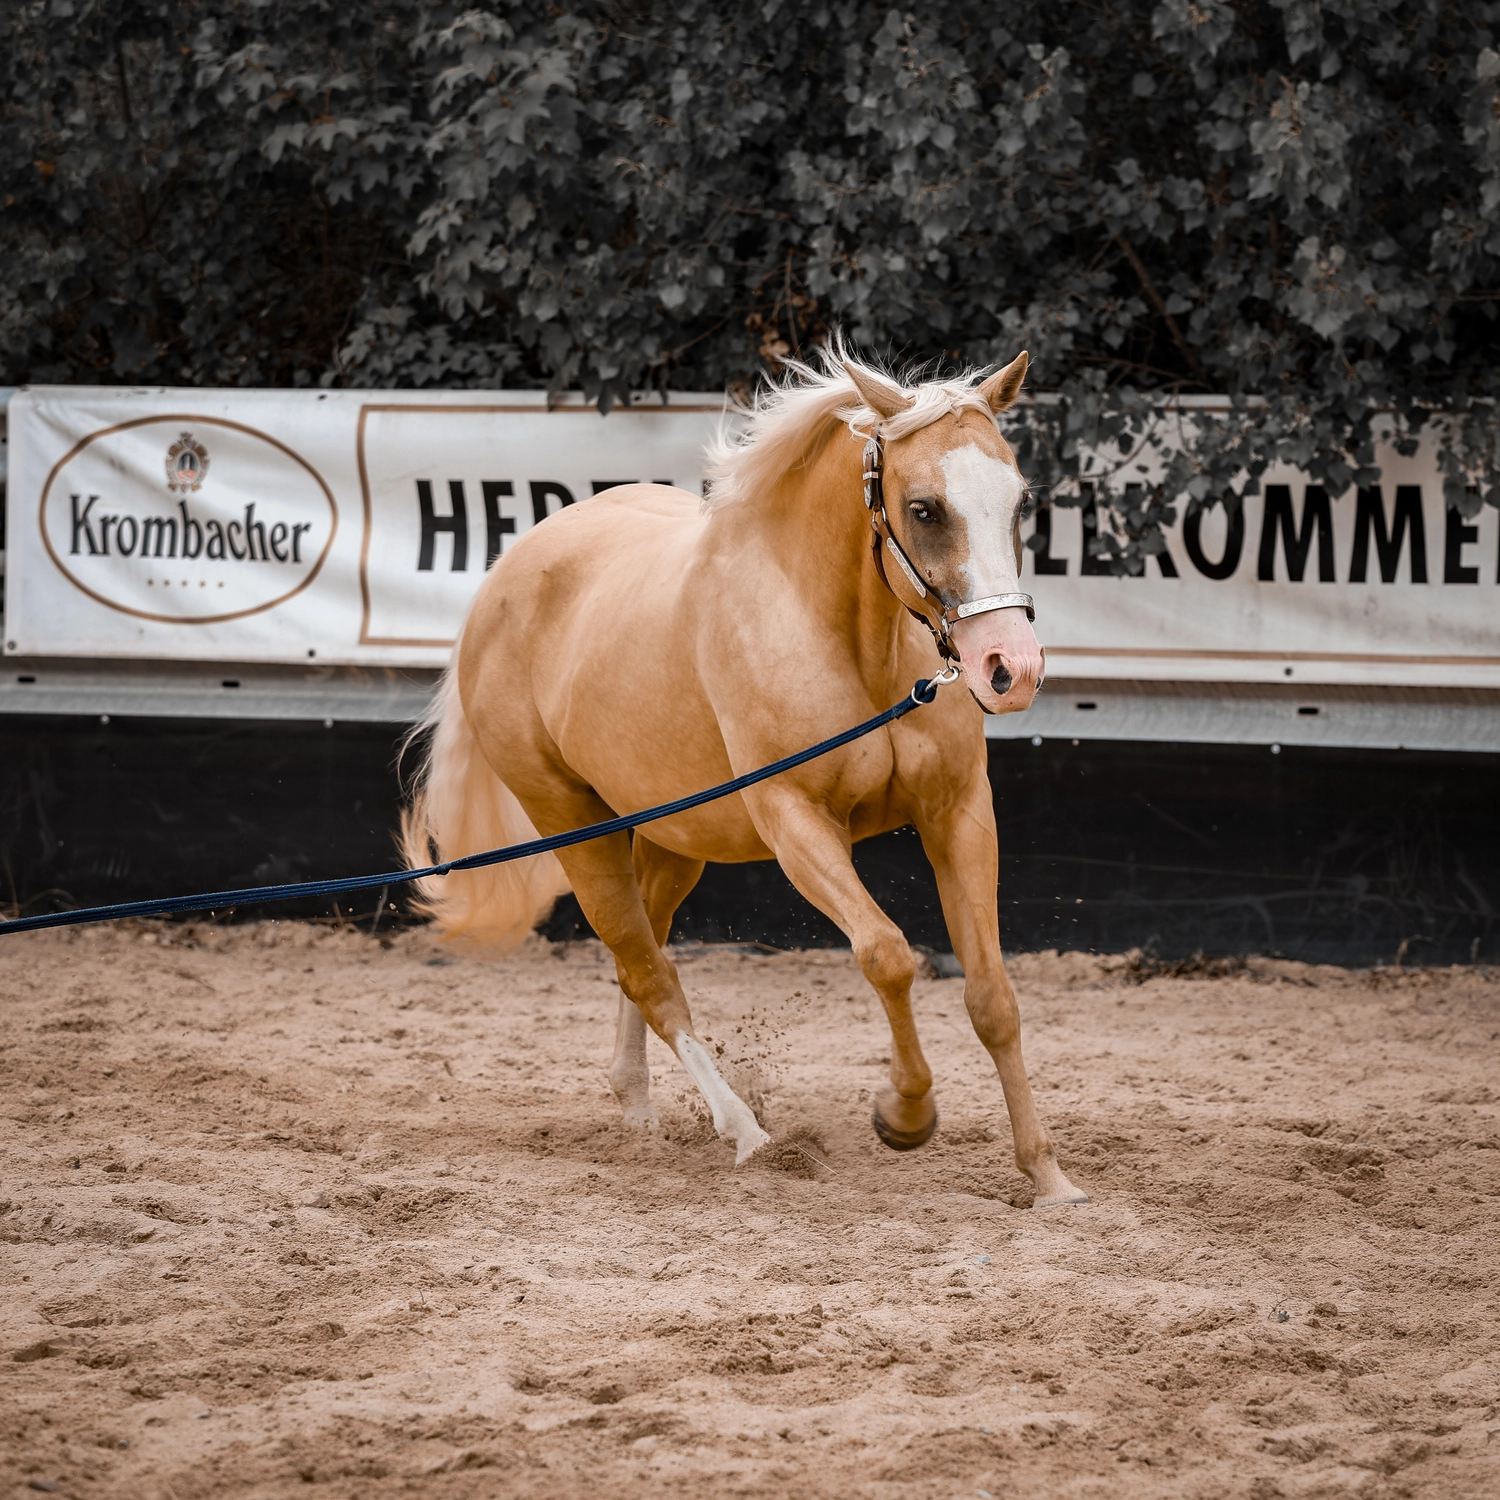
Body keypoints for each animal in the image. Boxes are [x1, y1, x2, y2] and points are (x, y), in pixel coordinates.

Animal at [401, 345, 1088, 1208]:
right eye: (925, 509)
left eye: (1020, 501)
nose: (1012, 669)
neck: (846, 642)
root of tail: (501, 580)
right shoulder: (795, 822)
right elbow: (888, 955)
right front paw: (903, 1115)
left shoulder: (958, 813)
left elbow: (993, 996)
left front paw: (1047, 1175)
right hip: (573, 827)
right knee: (648, 972)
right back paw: (749, 1135)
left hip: (671, 838)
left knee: (643, 959)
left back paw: (639, 1110)